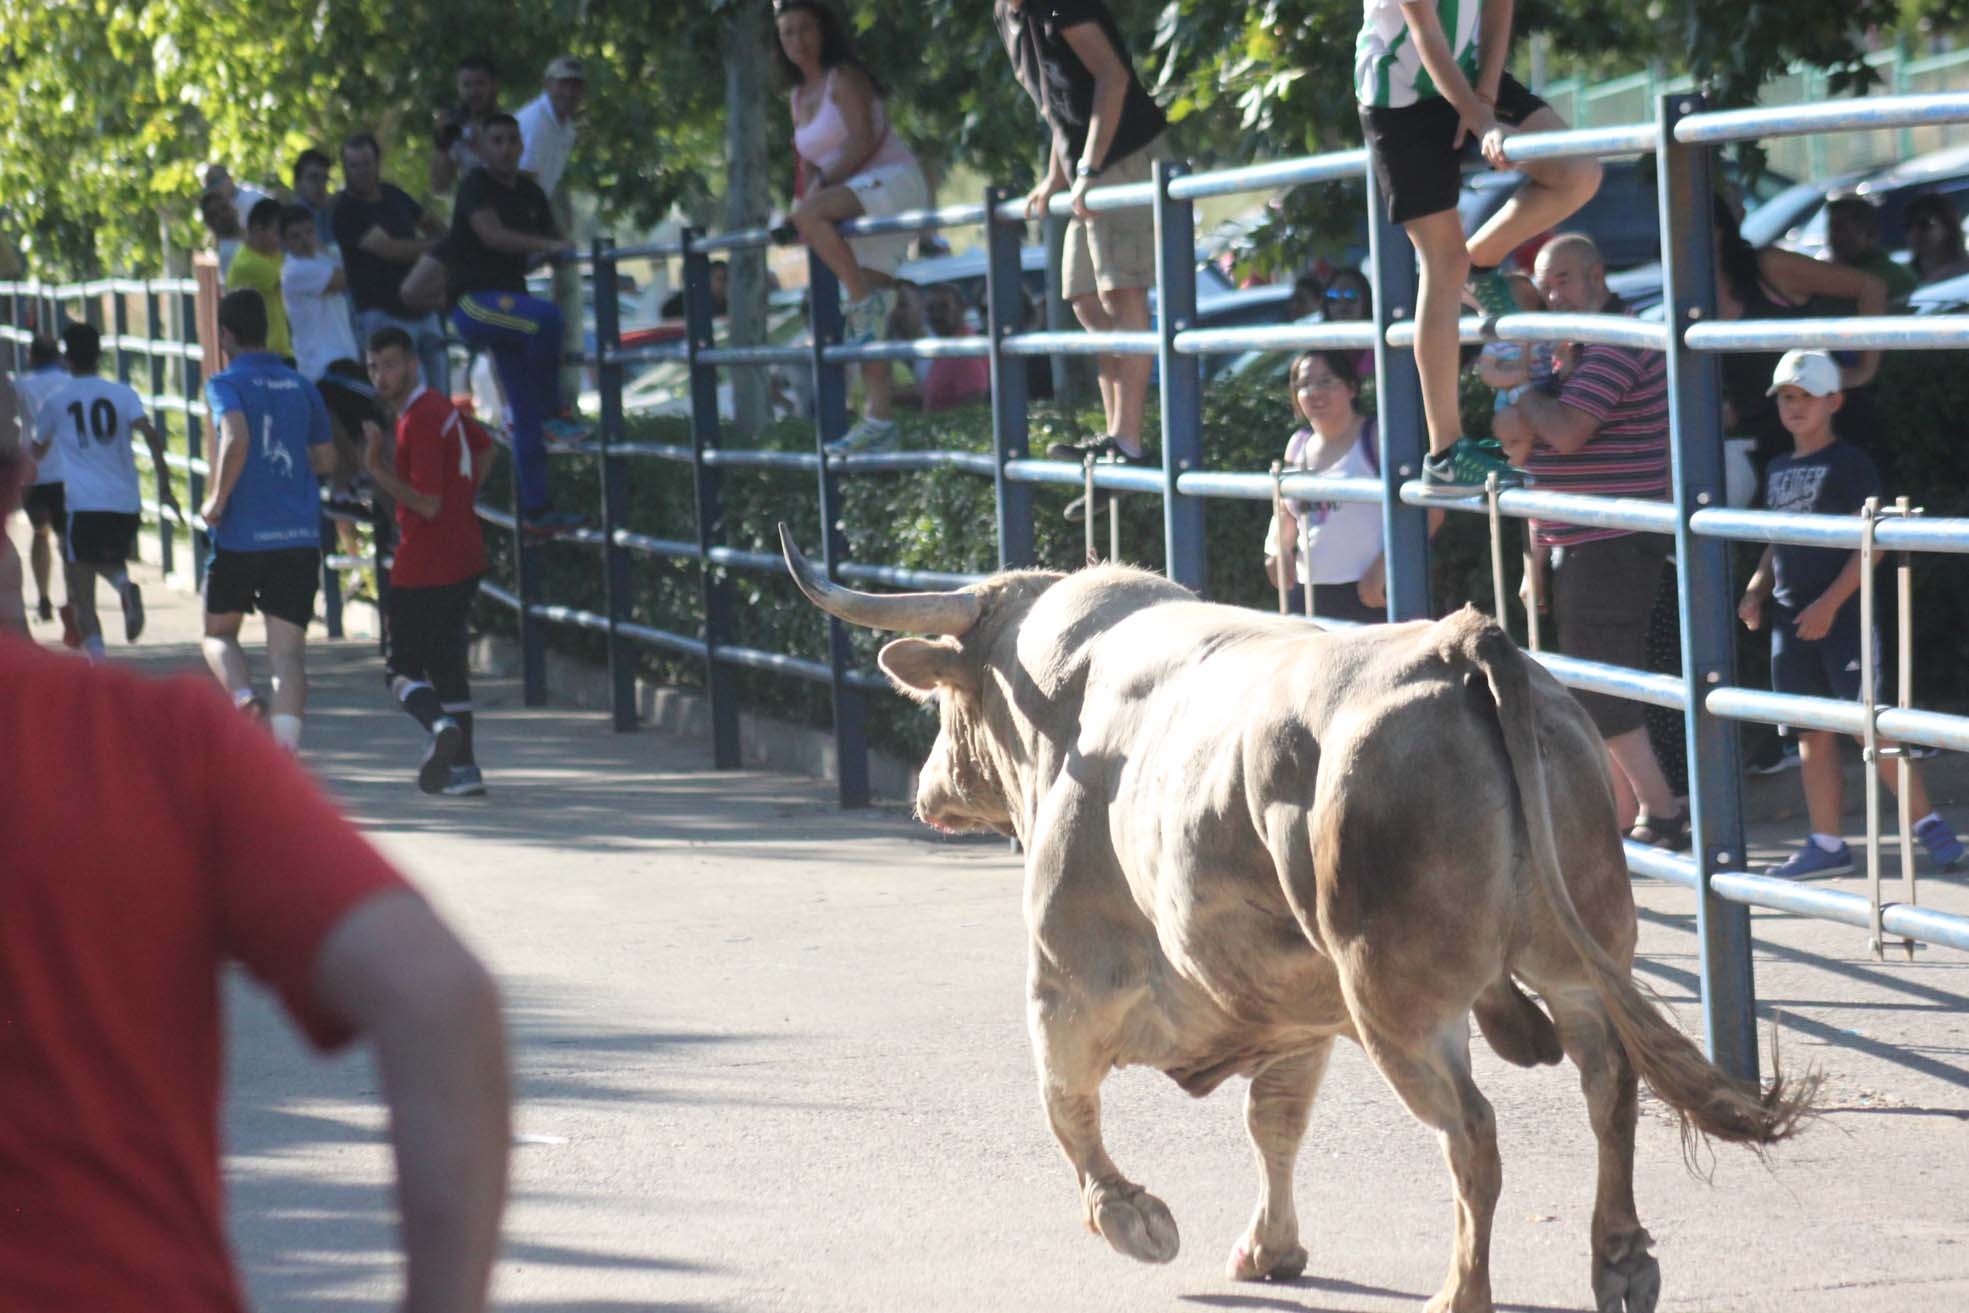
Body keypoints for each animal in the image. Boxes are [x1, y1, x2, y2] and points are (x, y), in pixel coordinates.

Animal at [777, 526, 1815, 1313]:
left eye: (947, 700)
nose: (927, 790)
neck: (1063, 706)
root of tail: (1458, 643)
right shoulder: (1292, 1008)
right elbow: (1272, 1122)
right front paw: (1268, 1246)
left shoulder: (1067, 977)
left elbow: (1065, 1106)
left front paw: (1132, 1217)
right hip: (1573, 956)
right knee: (1608, 1091)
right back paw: (1619, 1259)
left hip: (1397, 1001)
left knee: (1472, 1132)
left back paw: (1460, 1291)